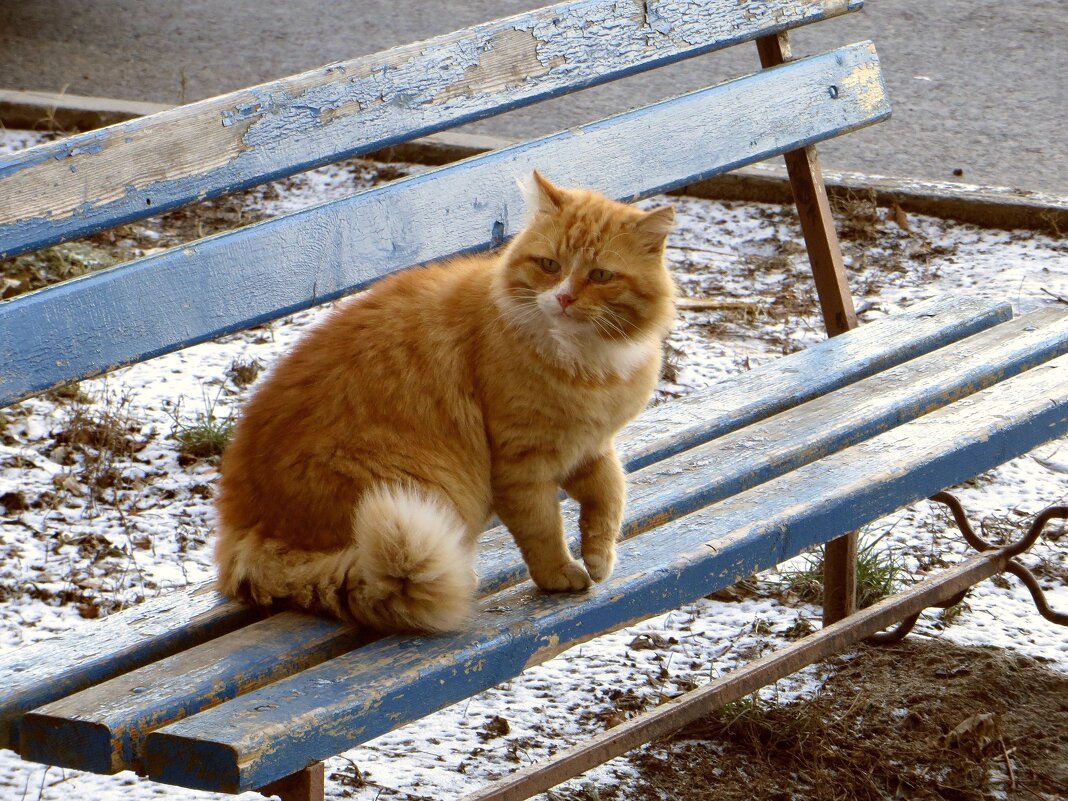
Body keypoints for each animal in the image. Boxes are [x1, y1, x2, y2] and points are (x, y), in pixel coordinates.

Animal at [215, 174, 674, 632]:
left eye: (600, 275)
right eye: (549, 266)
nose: (563, 299)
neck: (586, 362)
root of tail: (242, 532)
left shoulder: (591, 446)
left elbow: (610, 497)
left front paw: (599, 558)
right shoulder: (521, 463)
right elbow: (543, 529)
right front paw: (560, 575)